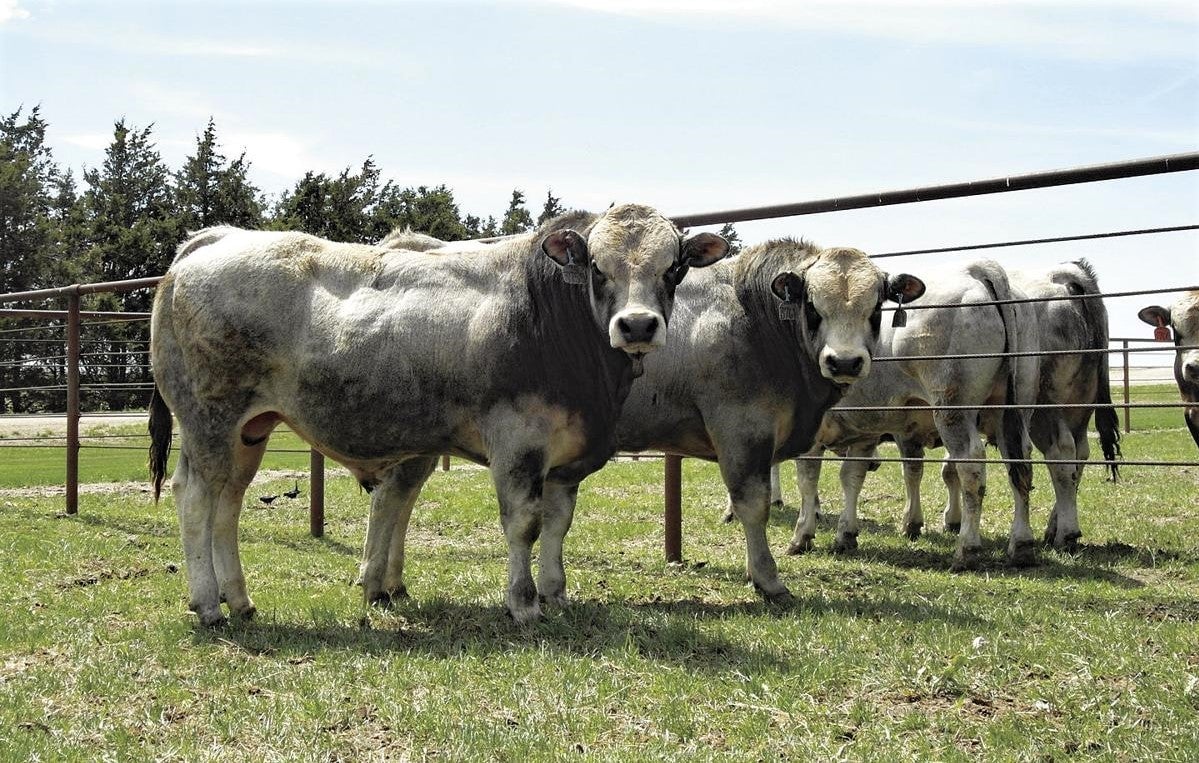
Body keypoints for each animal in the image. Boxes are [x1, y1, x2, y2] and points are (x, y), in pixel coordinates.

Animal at [145, 203, 724, 623]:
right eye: (598, 268)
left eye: (673, 268)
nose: (637, 325)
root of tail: (214, 240)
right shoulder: (517, 442)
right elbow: (524, 523)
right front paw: (523, 603)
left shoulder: (566, 456)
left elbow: (558, 526)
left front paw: (556, 595)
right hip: (209, 419)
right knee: (195, 496)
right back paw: (207, 606)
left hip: (249, 429)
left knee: (228, 503)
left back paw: (239, 600)